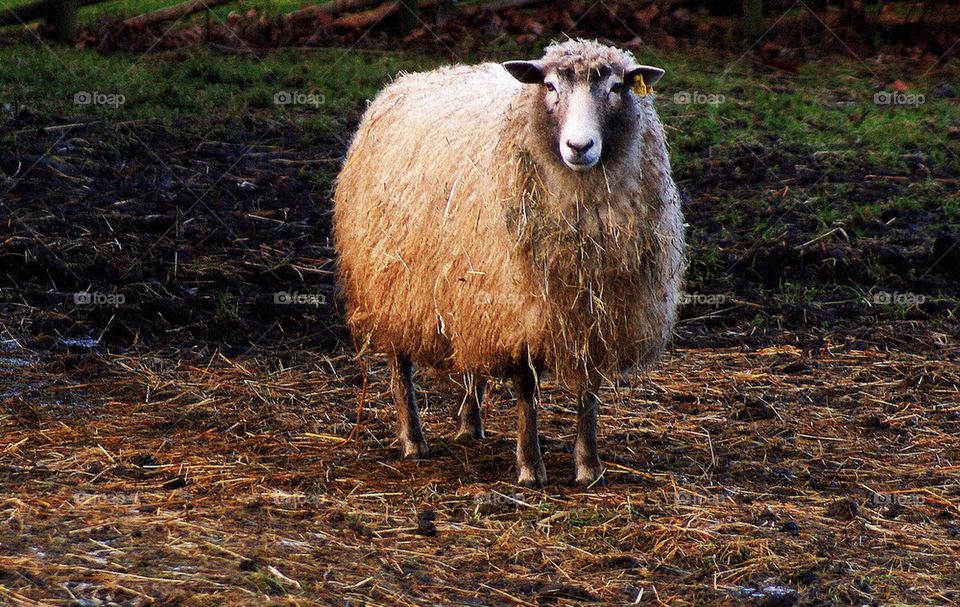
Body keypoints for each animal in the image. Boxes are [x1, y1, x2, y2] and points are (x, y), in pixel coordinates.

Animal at [334, 39, 686, 487]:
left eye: (616, 88)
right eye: (550, 87)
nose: (579, 147)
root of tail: (409, 79)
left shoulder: (594, 310)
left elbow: (587, 389)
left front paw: (588, 465)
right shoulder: (521, 308)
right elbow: (525, 389)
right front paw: (530, 466)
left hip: (467, 293)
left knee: (469, 359)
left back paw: (470, 424)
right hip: (392, 281)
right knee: (400, 366)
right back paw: (413, 439)